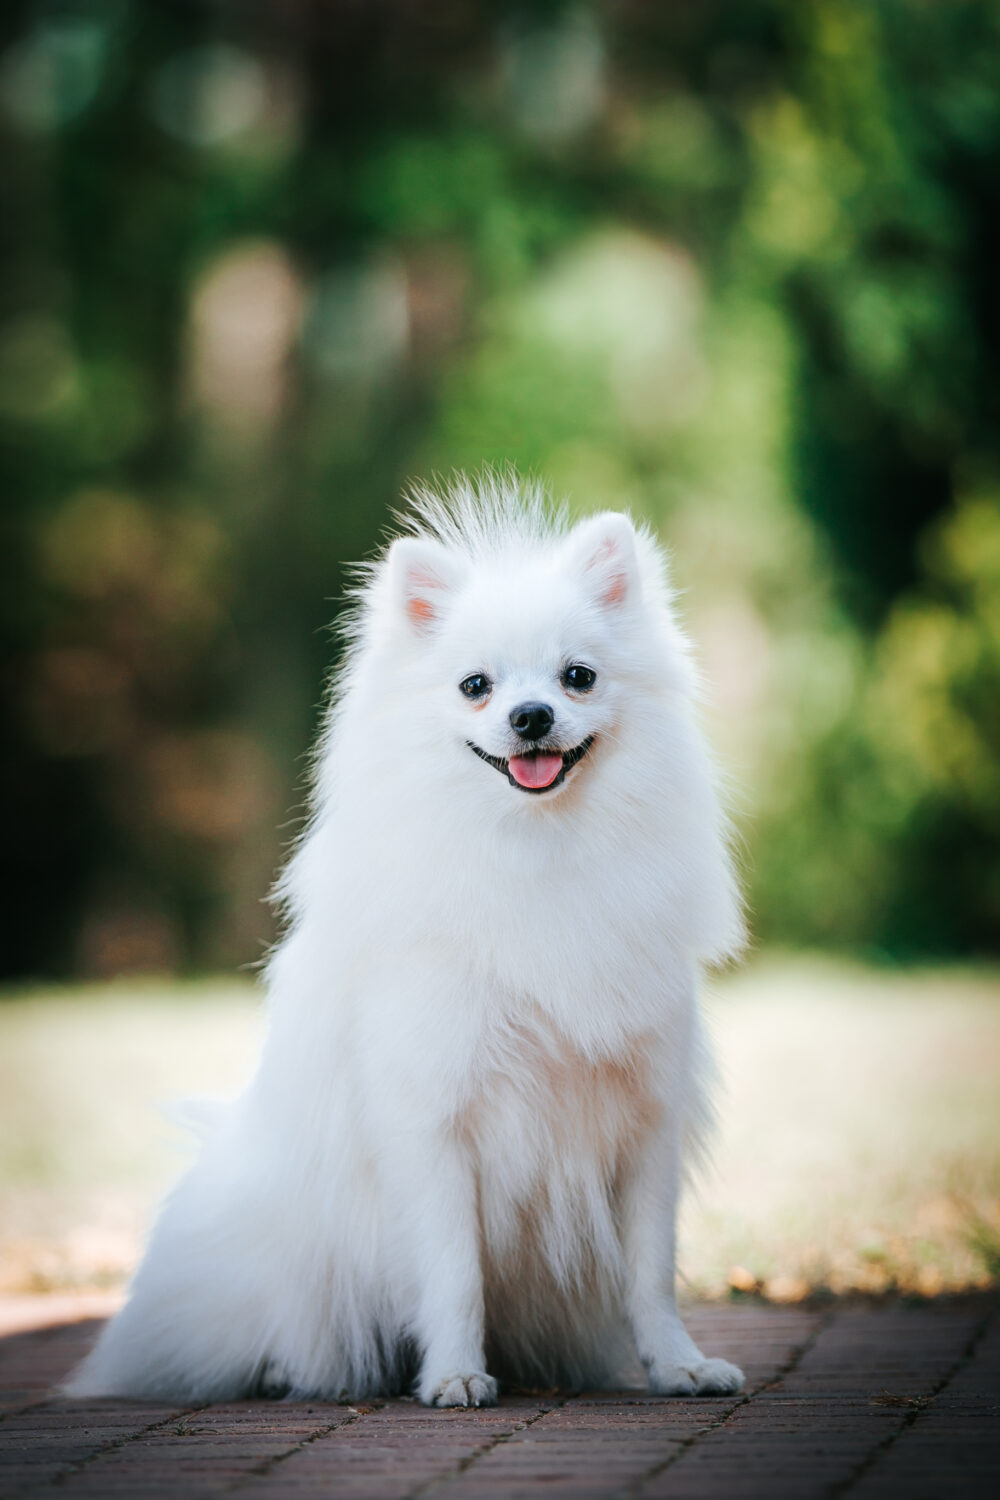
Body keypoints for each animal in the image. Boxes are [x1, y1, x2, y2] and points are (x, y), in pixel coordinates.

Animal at [68, 477, 743, 1404]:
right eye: (475, 686)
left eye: (578, 677)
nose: (531, 716)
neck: (536, 850)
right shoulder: (435, 1119)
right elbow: (454, 1271)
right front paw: (455, 1374)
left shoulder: (644, 1119)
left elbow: (651, 1271)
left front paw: (679, 1365)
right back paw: (282, 1367)